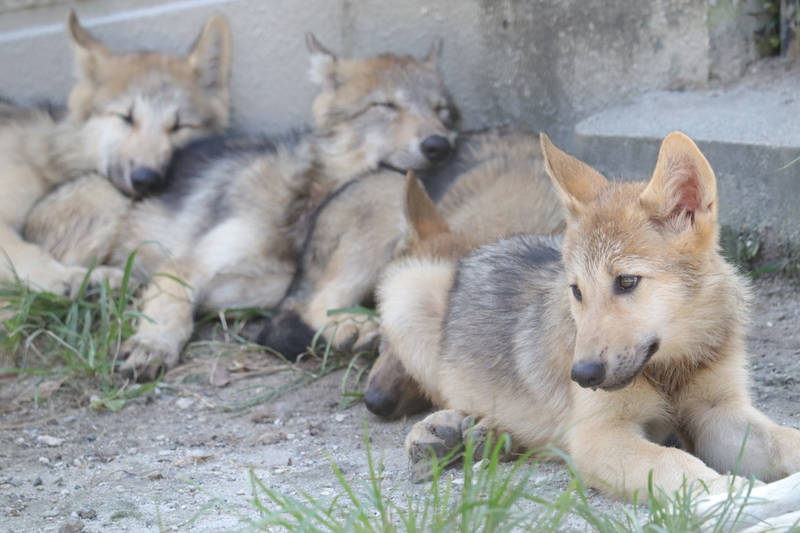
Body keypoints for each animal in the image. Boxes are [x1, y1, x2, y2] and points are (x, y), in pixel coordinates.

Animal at [4, 11, 232, 298]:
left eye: (178, 126)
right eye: (126, 117)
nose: (146, 180)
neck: (53, 156)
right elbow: (27, 252)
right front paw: (66, 278)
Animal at [62, 33, 459, 381]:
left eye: (442, 112)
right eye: (386, 105)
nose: (439, 145)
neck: (299, 204)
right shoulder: (184, 266)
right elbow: (172, 309)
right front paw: (153, 344)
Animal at [374, 132, 800, 531]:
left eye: (627, 282)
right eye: (577, 291)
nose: (581, 376)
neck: (671, 367)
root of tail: (478, 247)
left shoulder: (718, 413)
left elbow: (785, 439)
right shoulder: (599, 435)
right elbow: (676, 462)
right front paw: (732, 502)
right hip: (408, 290)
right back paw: (443, 430)